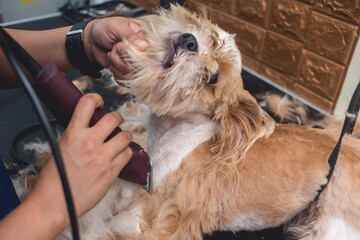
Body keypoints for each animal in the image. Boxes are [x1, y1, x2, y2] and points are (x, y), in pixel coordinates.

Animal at [21, 4, 360, 240]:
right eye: (205, 33)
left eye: (212, 78)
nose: (188, 40)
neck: (175, 136)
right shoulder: (134, 182)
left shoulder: (156, 216)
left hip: (333, 225)